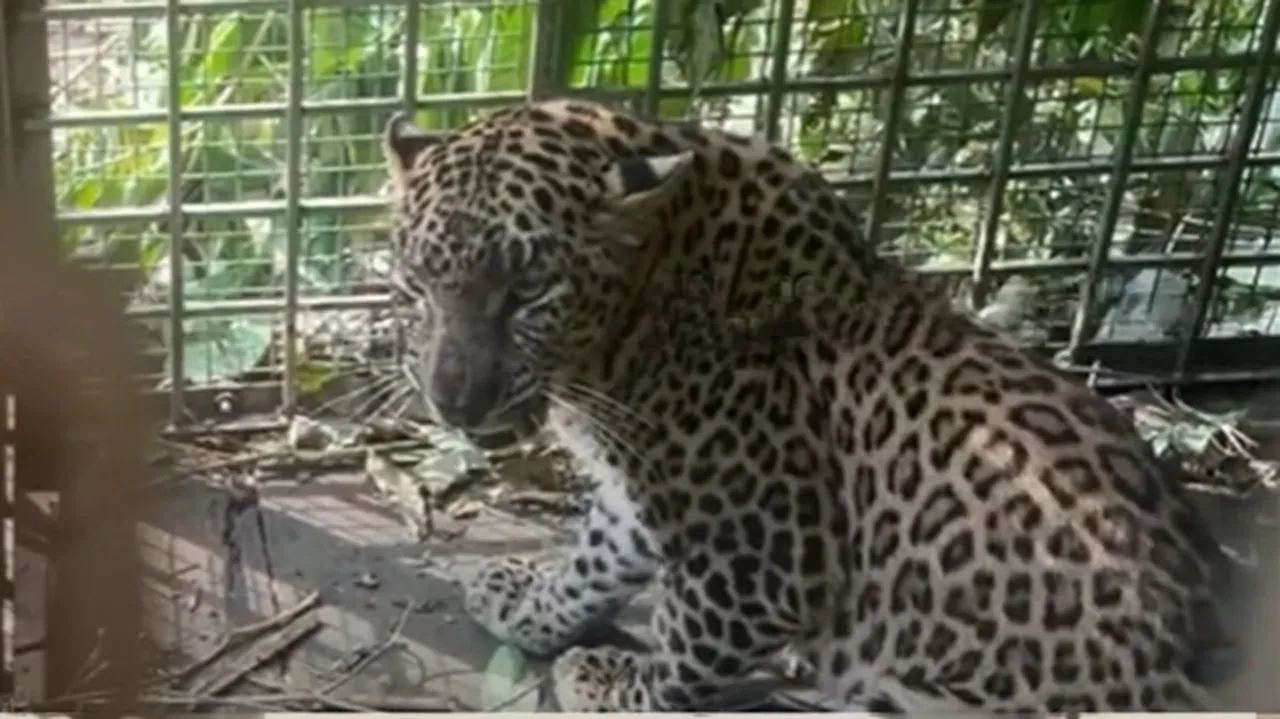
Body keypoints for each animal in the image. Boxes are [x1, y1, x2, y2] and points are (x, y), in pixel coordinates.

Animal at [379, 97, 1244, 713]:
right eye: (418, 281)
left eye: (529, 289)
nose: (453, 400)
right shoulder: (657, 491)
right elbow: (599, 551)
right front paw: (531, 604)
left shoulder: (762, 551)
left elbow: (687, 645)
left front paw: (612, 682)